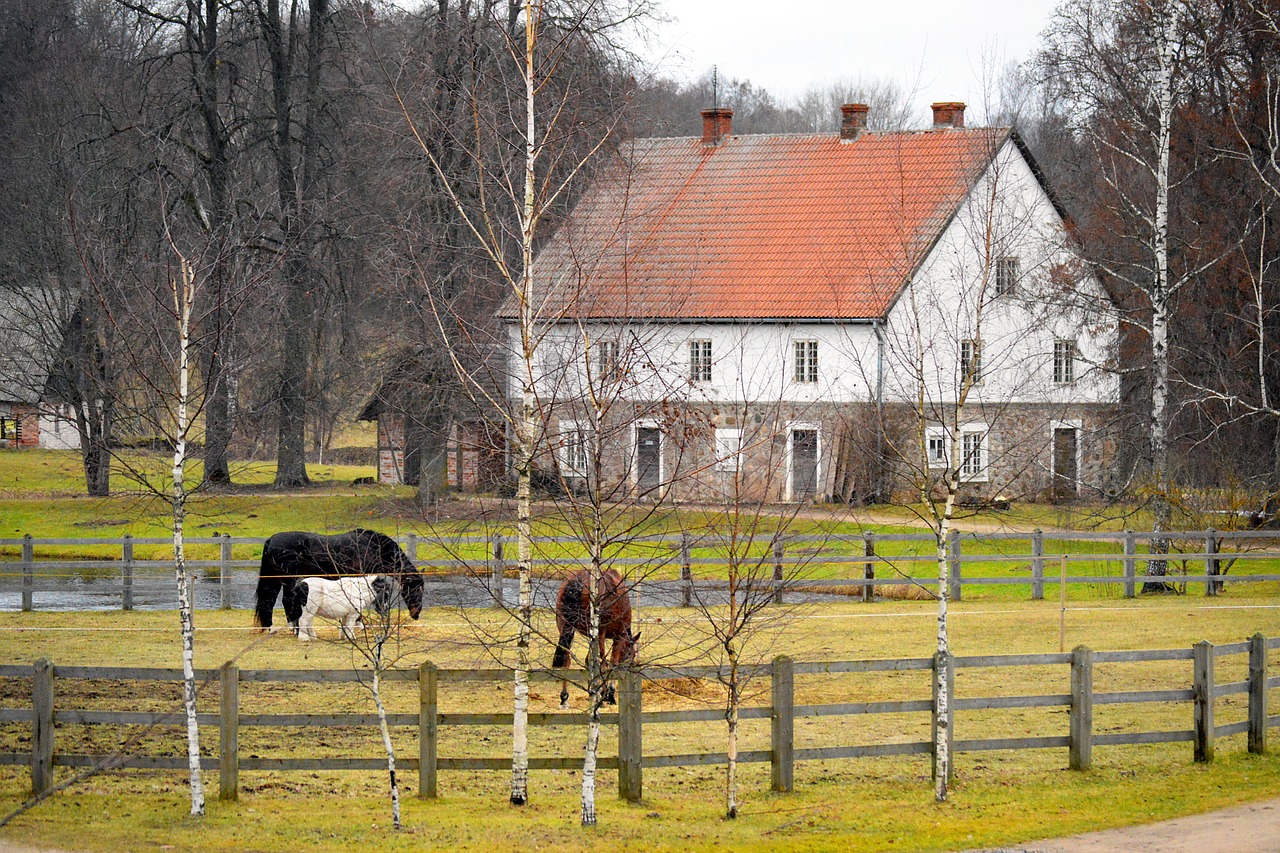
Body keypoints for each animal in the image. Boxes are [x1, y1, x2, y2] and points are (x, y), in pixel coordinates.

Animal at [253, 527, 424, 627]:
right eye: (417, 589)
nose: (416, 614)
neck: (373, 547)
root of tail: (271, 540)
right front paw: (359, 623)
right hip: (288, 580)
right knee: (286, 601)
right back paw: (294, 628)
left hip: (274, 580)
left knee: (268, 601)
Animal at [555, 568, 645, 706]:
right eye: (631, 654)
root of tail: (578, 580)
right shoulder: (619, 636)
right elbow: (611, 663)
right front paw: (608, 693)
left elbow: (589, 661)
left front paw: (594, 692)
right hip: (600, 632)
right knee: (602, 663)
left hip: (565, 626)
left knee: (567, 658)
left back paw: (564, 697)